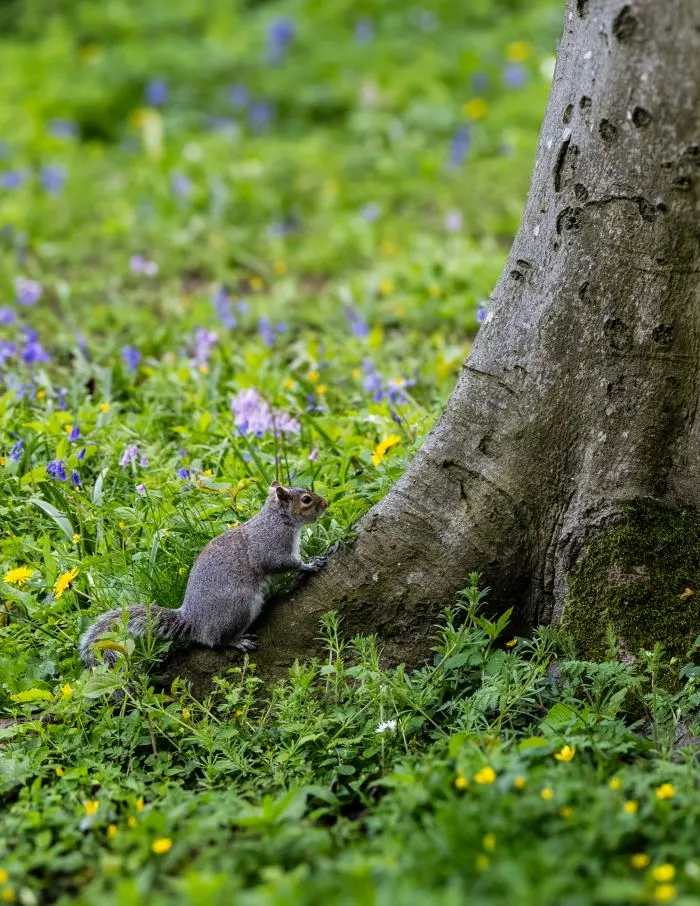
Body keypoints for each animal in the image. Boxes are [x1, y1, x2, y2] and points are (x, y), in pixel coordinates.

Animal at [80, 481, 330, 668]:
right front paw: (310, 565)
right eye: (306, 499)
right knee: (216, 640)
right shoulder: (271, 546)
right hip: (238, 607)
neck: (278, 518)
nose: (326, 503)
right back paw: (237, 641)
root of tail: (194, 620)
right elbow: (283, 563)